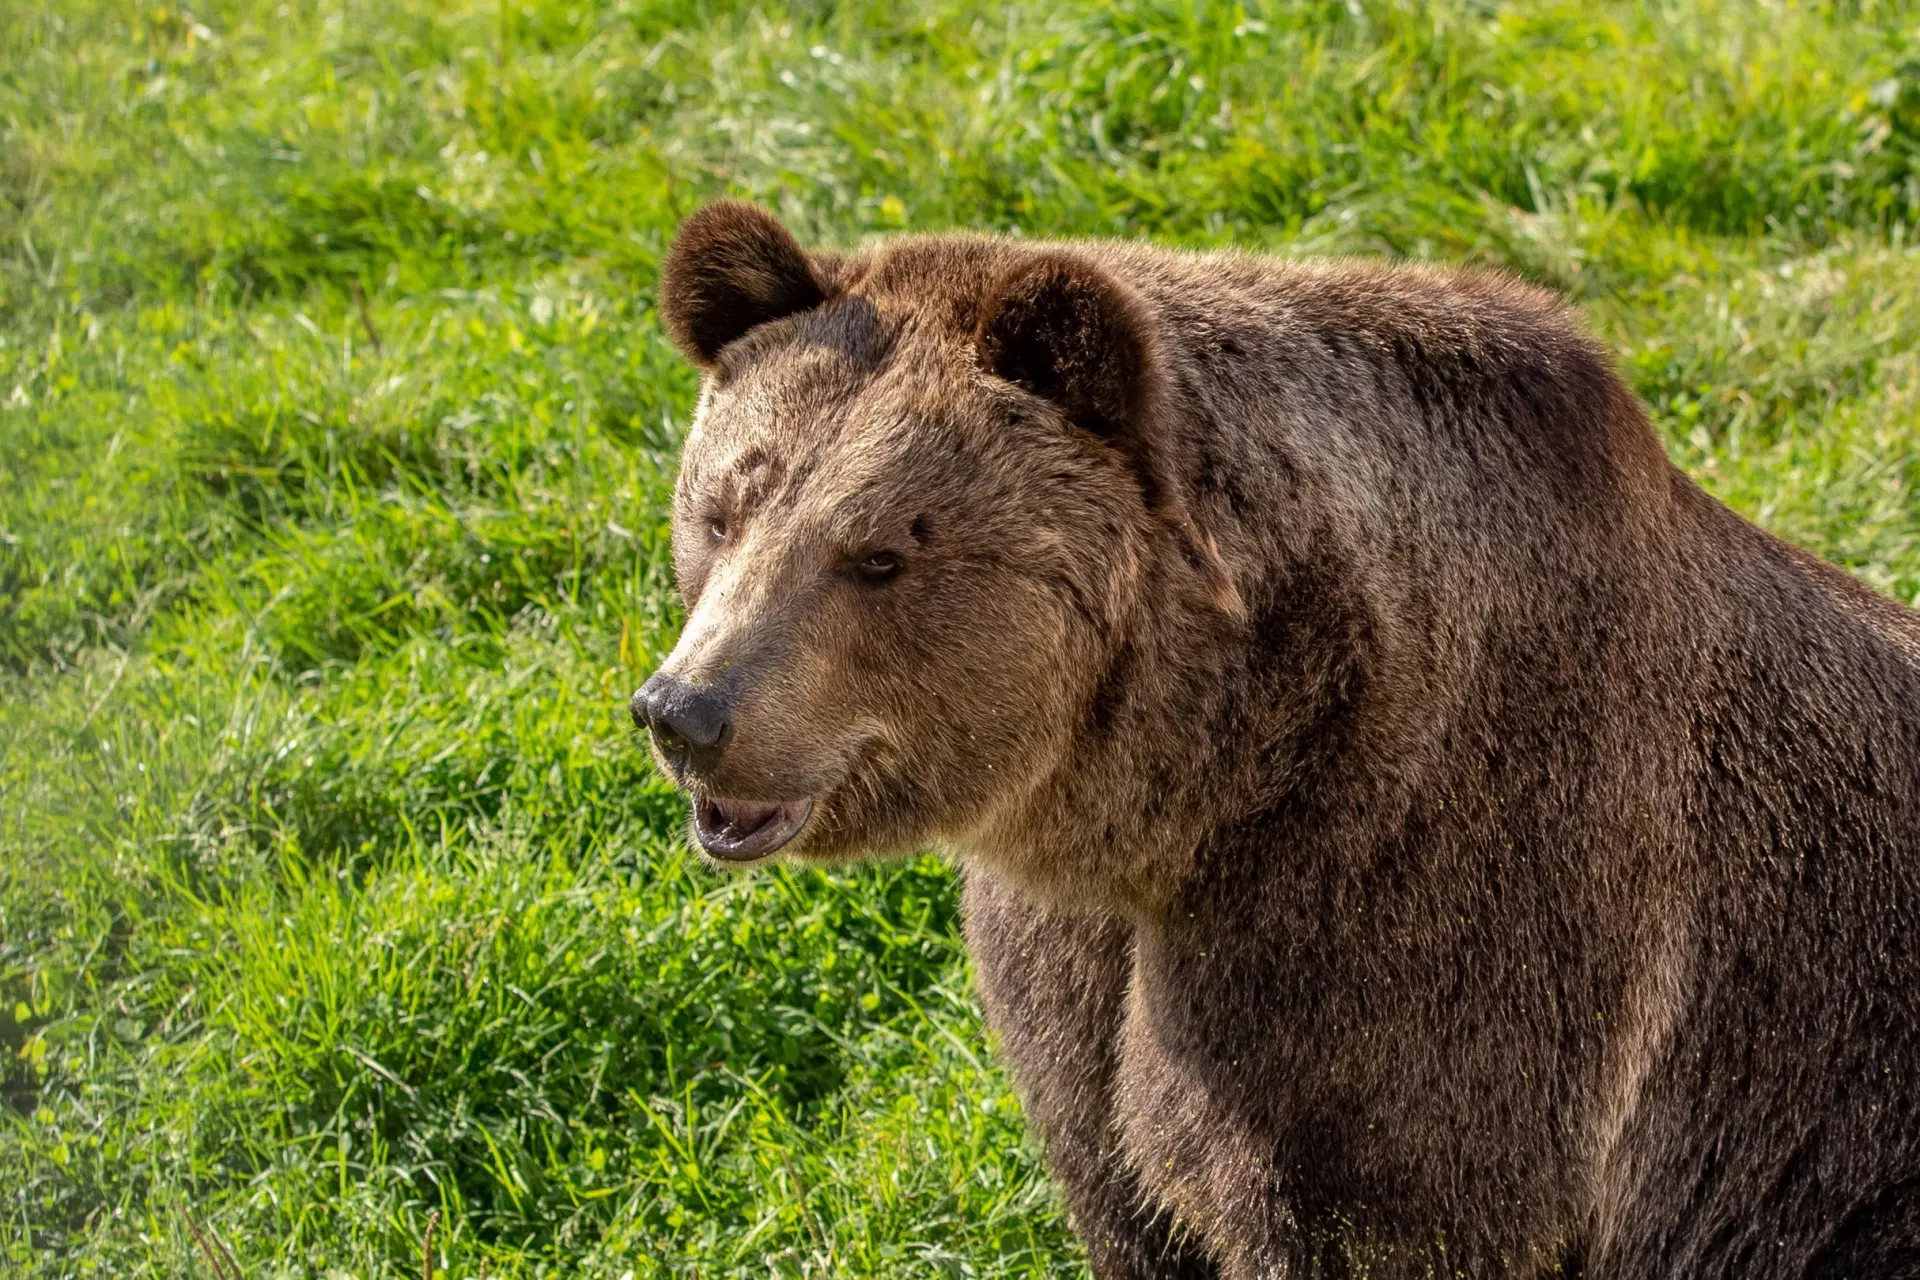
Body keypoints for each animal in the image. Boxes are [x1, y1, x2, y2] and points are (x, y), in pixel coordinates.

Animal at [630, 201, 1920, 1279]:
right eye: (725, 505)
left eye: (881, 551)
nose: (686, 709)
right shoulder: (1078, 973)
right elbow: (1115, 1171)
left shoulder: (1441, 927)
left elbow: (1377, 1191)